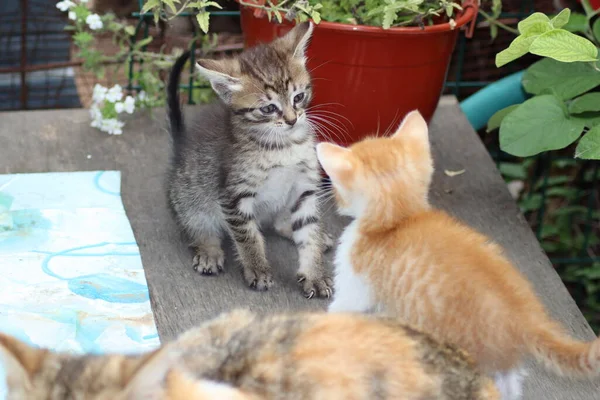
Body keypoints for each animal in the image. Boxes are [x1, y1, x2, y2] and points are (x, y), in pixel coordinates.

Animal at [165, 21, 332, 296]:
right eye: (268, 108)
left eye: (298, 97)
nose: (291, 120)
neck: (283, 145)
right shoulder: (233, 194)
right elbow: (247, 236)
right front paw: (257, 269)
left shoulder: (305, 188)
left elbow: (309, 231)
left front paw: (314, 273)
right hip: (191, 196)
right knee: (198, 224)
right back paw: (209, 250)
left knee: (280, 224)